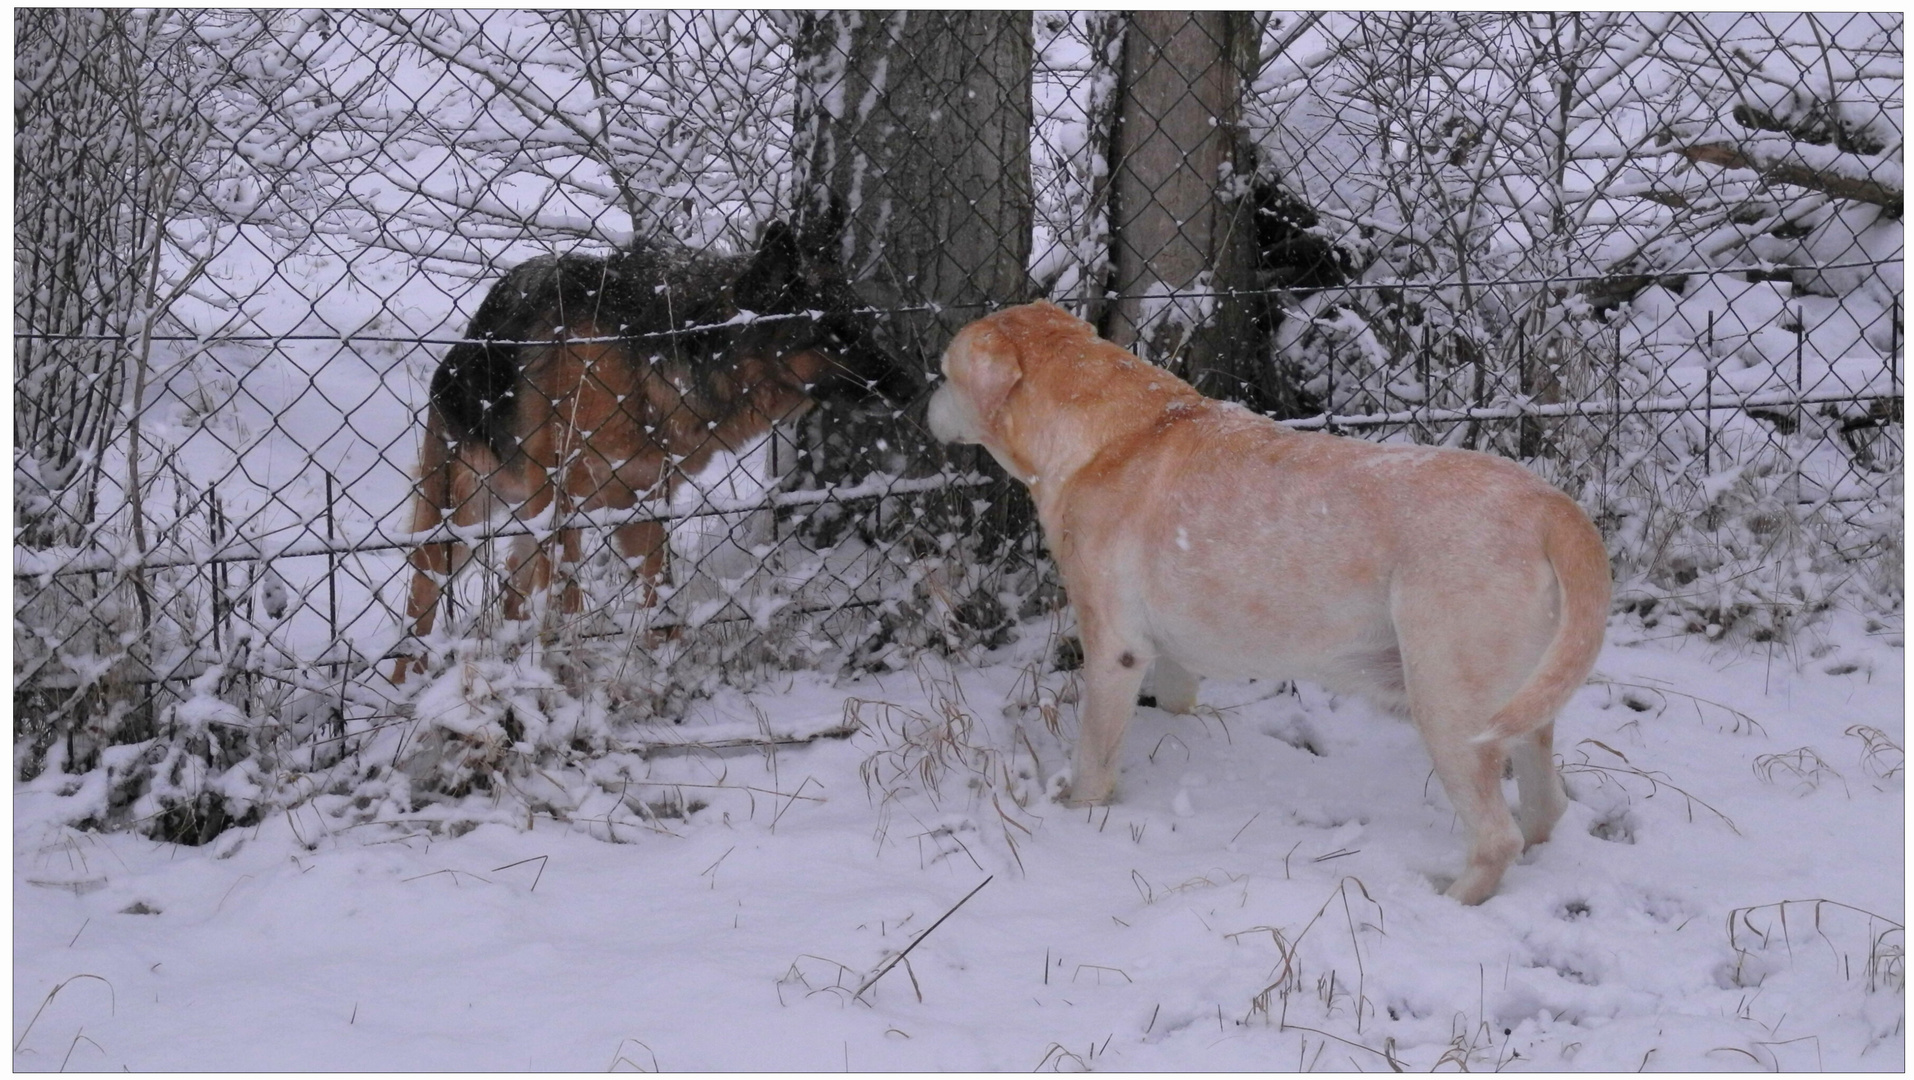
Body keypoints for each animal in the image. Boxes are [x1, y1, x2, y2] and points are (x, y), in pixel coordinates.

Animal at [392, 219, 907, 681]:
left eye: (863, 326)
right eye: (835, 335)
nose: (914, 384)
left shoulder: (644, 503)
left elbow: (660, 599)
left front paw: (662, 672)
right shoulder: (565, 505)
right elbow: (567, 601)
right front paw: (567, 675)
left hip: (524, 518)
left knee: (512, 584)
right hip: (458, 523)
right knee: (421, 605)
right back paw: (407, 685)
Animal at [934, 298, 1607, 900]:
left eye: (945, 372)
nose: (923, 407)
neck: (1109, 436)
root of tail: (1553, 506)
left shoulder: (1113, 649)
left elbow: (1095, 756)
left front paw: (1079, 816)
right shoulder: (1170, 647)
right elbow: (1176, 697)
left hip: (1449, 705)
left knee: (1497, 837)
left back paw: (1450, 898)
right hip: (1525, 702)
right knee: (1545, 809)